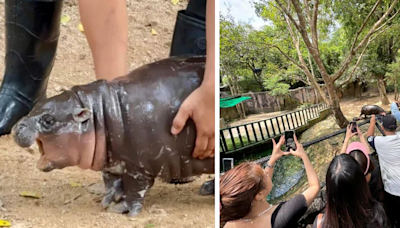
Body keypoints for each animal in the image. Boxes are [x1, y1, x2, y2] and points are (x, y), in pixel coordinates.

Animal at [11, 55, 216, 217]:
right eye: (36, 106)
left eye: (48, 120)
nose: (16, 127)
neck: (99, 114)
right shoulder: (110, 163)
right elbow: (111, 183)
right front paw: (107, 201)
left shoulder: (139, 168)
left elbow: (135, 190)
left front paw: (122, 209)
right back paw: (206, 189)